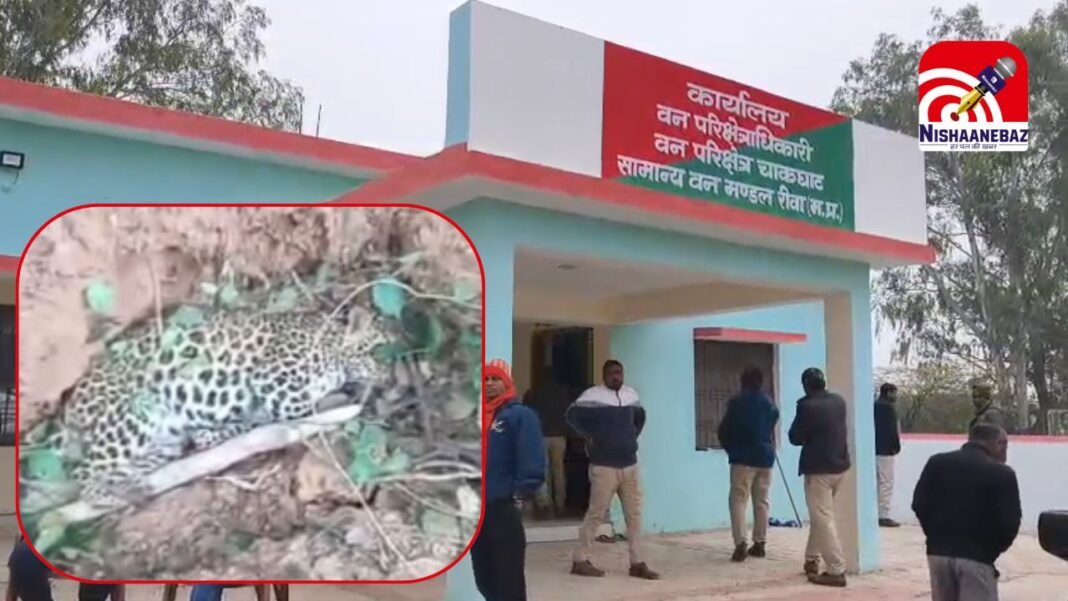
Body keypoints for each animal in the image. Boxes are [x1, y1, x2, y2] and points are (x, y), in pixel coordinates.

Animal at [36, 307, 392, 509]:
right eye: (378, 351)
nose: (390, 376)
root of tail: (71, 406)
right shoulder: (275, 381)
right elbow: (297, 407)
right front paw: (340, 401)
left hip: (161, 442)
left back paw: (136, 488)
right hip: (132, 417)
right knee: (84, 475)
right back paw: (110, 496)